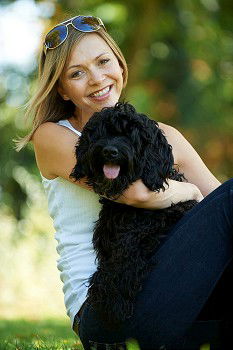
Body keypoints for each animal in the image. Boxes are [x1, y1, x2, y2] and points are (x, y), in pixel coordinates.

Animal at [70, 102, 198, 326]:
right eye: (103, 132)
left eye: (131, 136)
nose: (110, 151)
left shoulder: (155, 226)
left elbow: (126, 252)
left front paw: (113, 298)